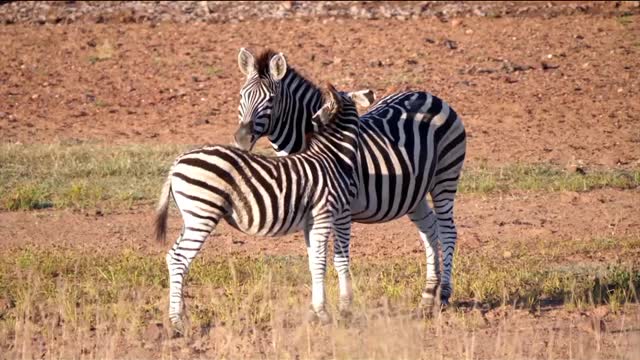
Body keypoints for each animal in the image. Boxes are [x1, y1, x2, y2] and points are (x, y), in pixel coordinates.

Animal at [153, 83, 368, 332]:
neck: (331, 157)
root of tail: (178, 161)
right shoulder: (323, 214)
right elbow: (321, 262)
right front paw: (323, 314)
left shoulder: (310, 222)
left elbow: (314, 263)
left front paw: (316, 311)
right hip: (202, 214)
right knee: (180, 259)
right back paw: (177, 321)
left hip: (192, 217)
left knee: (172, 256)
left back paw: (180, 315)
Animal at [234, 48, 464, 310]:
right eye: (241, 95)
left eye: (271, 100)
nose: (241, 139)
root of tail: (429, 95)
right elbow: (314, 258)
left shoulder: (342, 210)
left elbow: (339, 258)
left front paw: (345, 304)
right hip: (414, 193)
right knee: (430, 230)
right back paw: (428, 294)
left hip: (446, 178)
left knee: (447, 231)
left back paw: (444, 293)